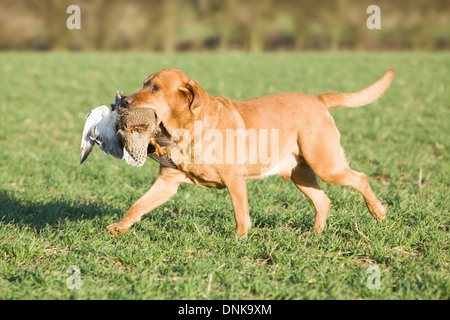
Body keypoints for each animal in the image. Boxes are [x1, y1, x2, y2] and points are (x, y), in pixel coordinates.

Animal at [106, 68, 394, 238]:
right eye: (143, 84)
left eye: (155, 88)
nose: (124, 102)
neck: (187, 130)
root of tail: (319, 99)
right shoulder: (167, 182)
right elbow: (138, 205)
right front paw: (119, 227)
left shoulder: (234, 180)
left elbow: (240, 214)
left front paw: (239, 240)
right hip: (299, 174)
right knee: (323, 201)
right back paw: (315, 233)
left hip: (326, 165)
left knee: (360, 178)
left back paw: (378, 212)